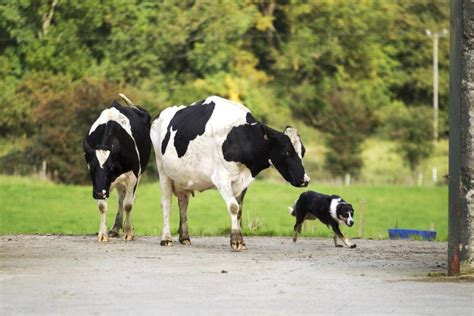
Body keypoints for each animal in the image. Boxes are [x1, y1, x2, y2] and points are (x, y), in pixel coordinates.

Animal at [83, 94, 152, 242]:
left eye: (110, 168)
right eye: (92, 169)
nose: (99, 193)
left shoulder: (132, 176)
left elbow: (128, 205)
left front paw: (129, 233)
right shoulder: (100, 184)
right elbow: (102, 206)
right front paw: (102, 235)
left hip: (138, 176)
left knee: (128, 200)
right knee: (121, 198)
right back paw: (115, 228)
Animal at [150, 95, 310, 249]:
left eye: (303, 151)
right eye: (287, 152)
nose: (305, 180)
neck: (240, 136)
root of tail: (159, 115)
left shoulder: (244, 181)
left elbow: (239, 211)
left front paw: (241, 241)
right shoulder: (221, 178)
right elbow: (233, 207)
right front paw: (236, 241)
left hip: (183, 177)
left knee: (183, 203)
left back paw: (184, 237)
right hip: (163, 171)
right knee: (166, 203)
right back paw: (166, 238)